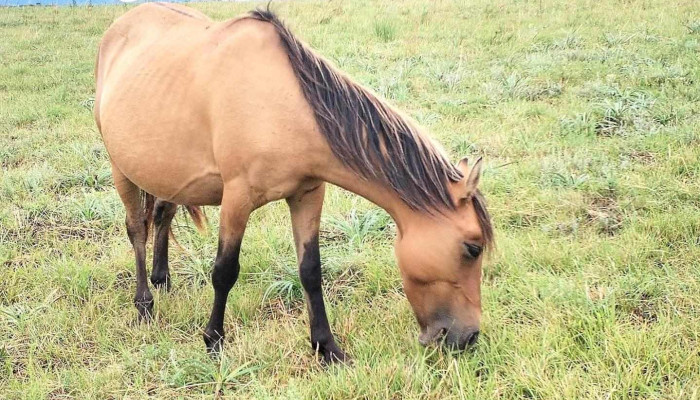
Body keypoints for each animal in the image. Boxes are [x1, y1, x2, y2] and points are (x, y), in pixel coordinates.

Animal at [95, 2, 494, 362]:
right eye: (473, 248)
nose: (469, 337)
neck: (285, 106)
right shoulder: (237, 199)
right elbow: (224, 271)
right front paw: (213, 341)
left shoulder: (308, 194)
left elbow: (311, 271)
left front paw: (327, 348)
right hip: (120, 169)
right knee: (138, 229)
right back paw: (144, 303)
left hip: (167, 172)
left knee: (162, 213)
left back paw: (162, 280)